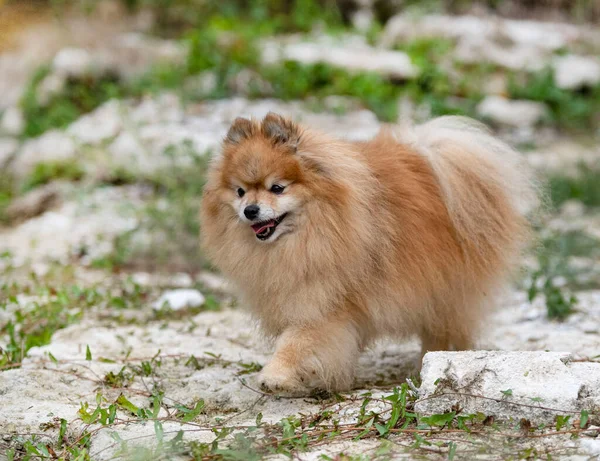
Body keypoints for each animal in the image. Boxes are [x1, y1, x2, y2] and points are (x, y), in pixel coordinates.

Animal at [199, 110, 536, 392]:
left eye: (277, 188)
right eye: (240, 192)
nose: (250, 210)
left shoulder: (323, 304)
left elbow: (298, 342)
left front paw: (276, 375)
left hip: (449, 291)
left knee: (445, 330)